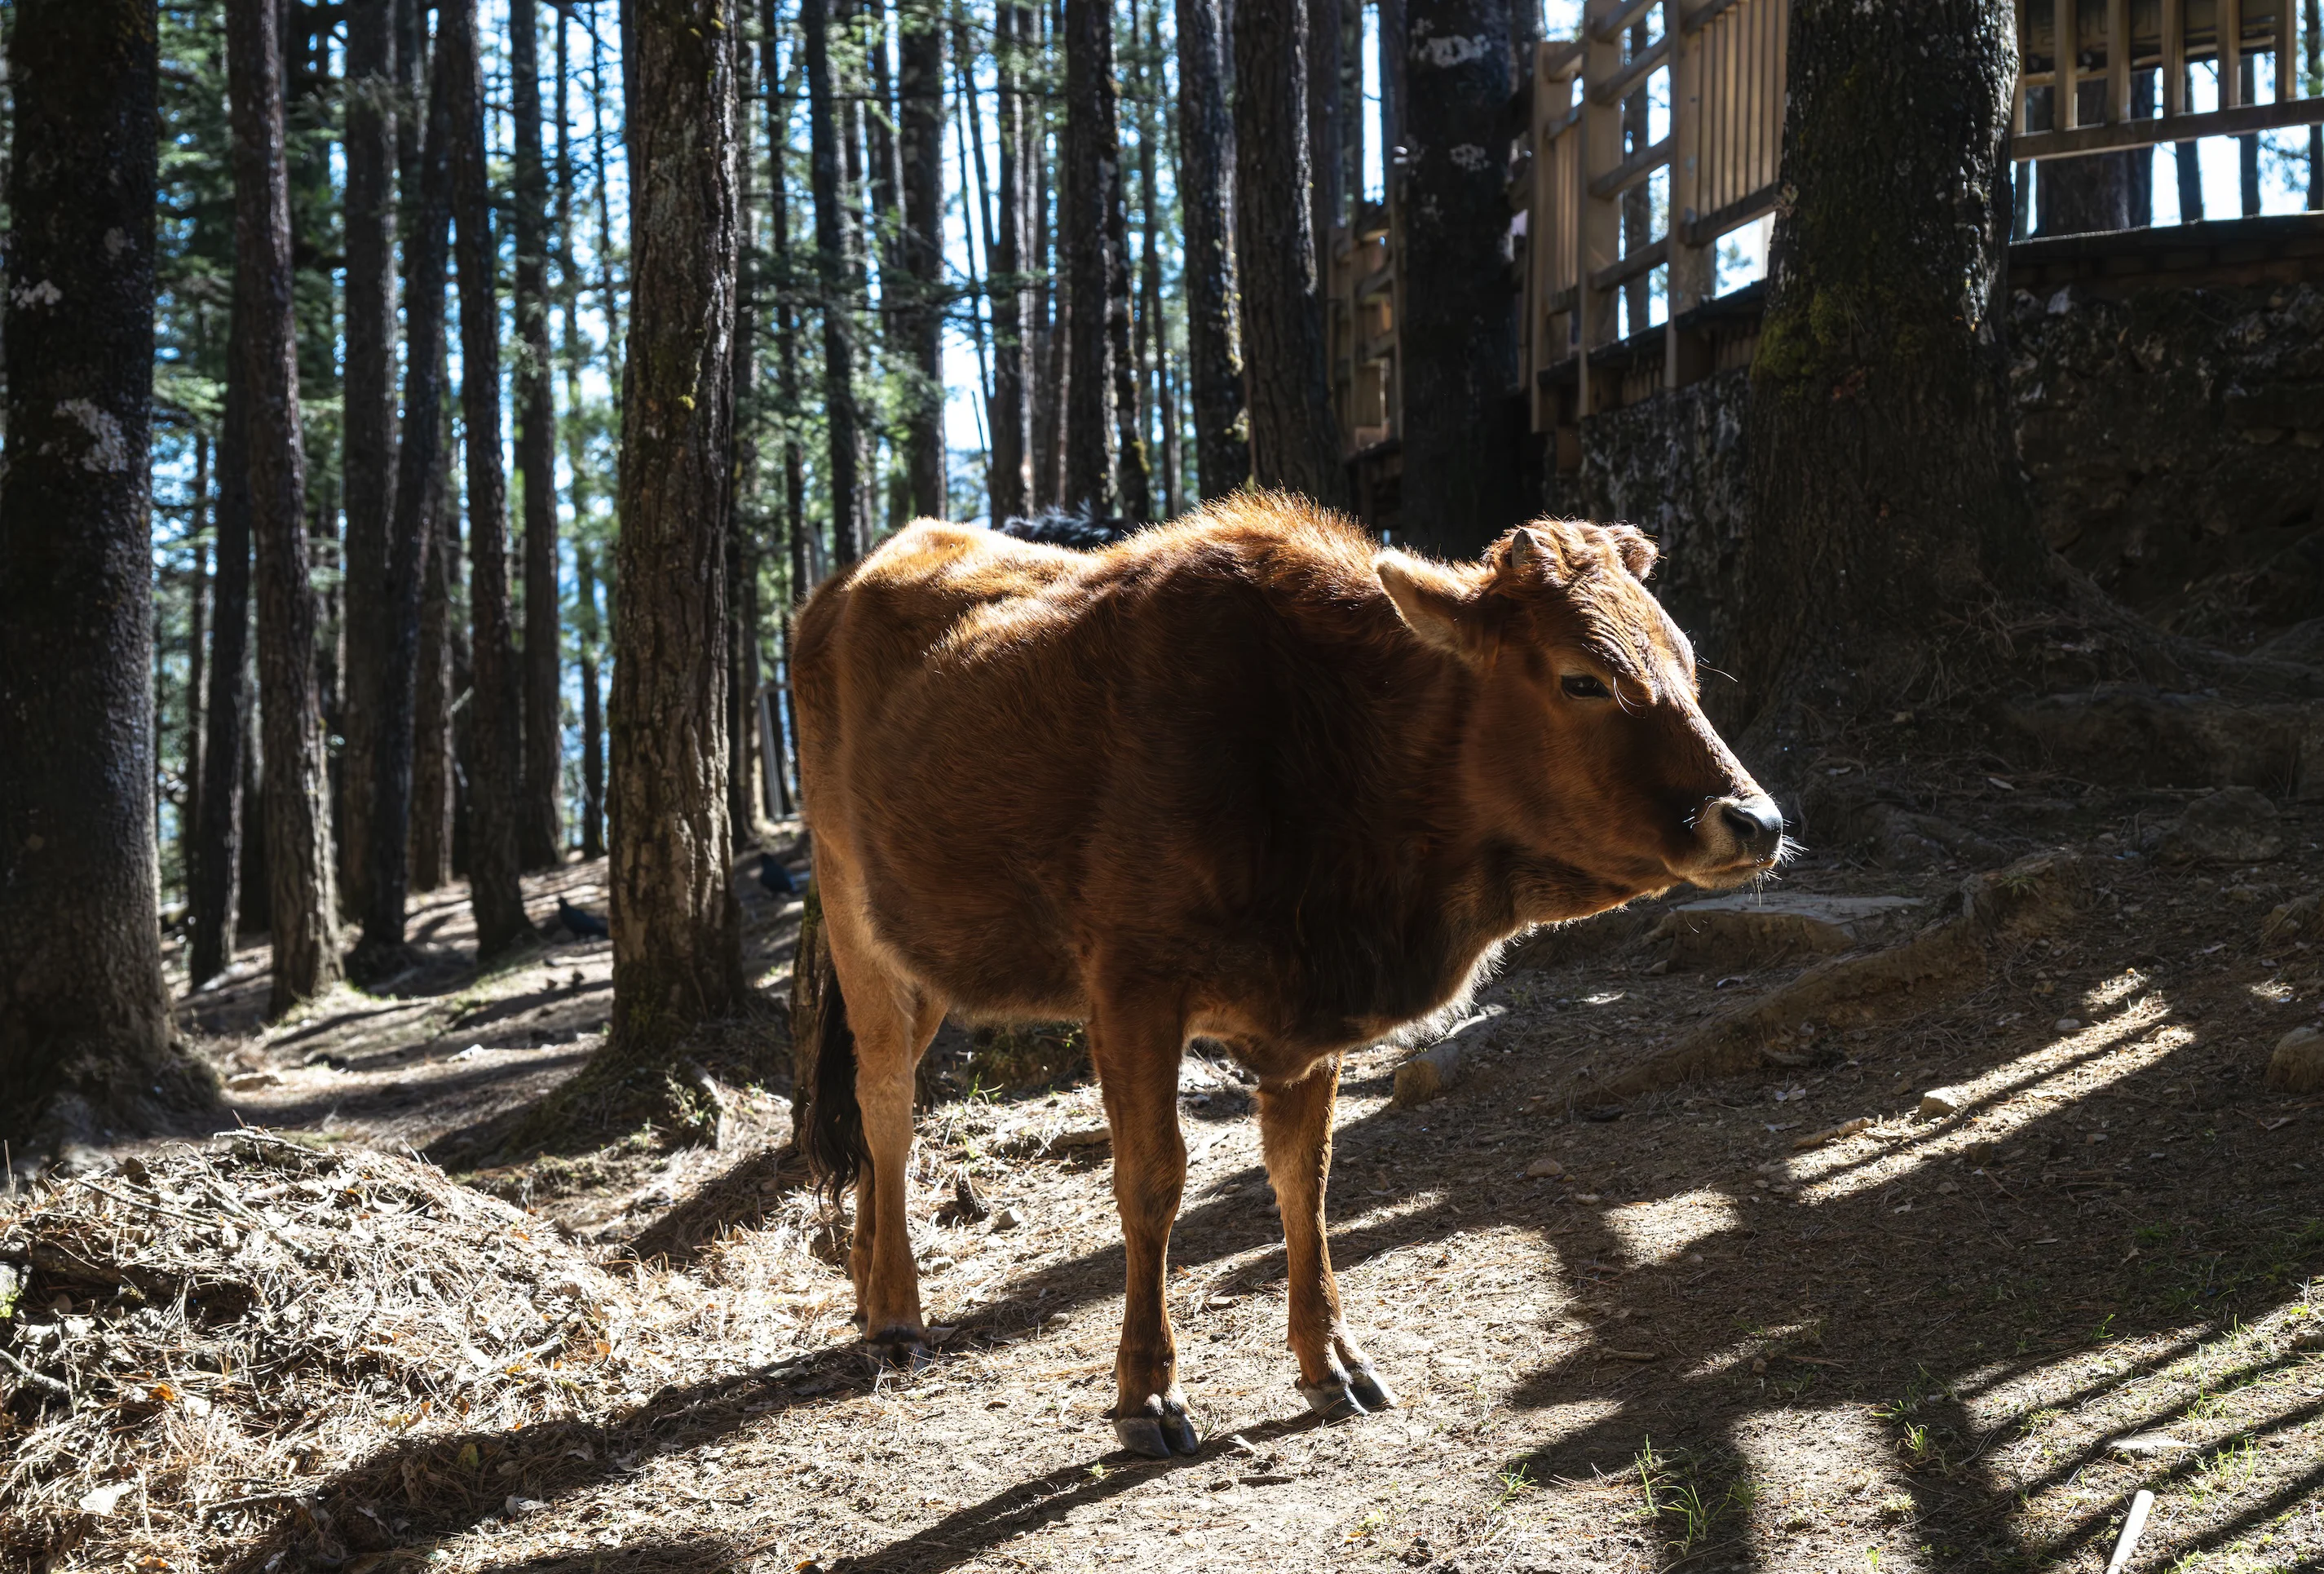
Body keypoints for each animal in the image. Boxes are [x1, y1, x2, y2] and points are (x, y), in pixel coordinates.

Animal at [791, 493, 1783, 1458]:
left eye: (1687, 666)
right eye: (1582, 676)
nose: (1755, 821)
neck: (1326, 732)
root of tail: (838, 589)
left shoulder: (1308, 1018)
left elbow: (1304, 1177)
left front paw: (1334, 1363)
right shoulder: (1133, 992)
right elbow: (1153, 1180)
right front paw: (1148, 1395)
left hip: (921, 965)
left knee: (879, 1115)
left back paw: (870, 1290)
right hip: (859, 929)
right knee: (887, 1106)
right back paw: (899, 1316)